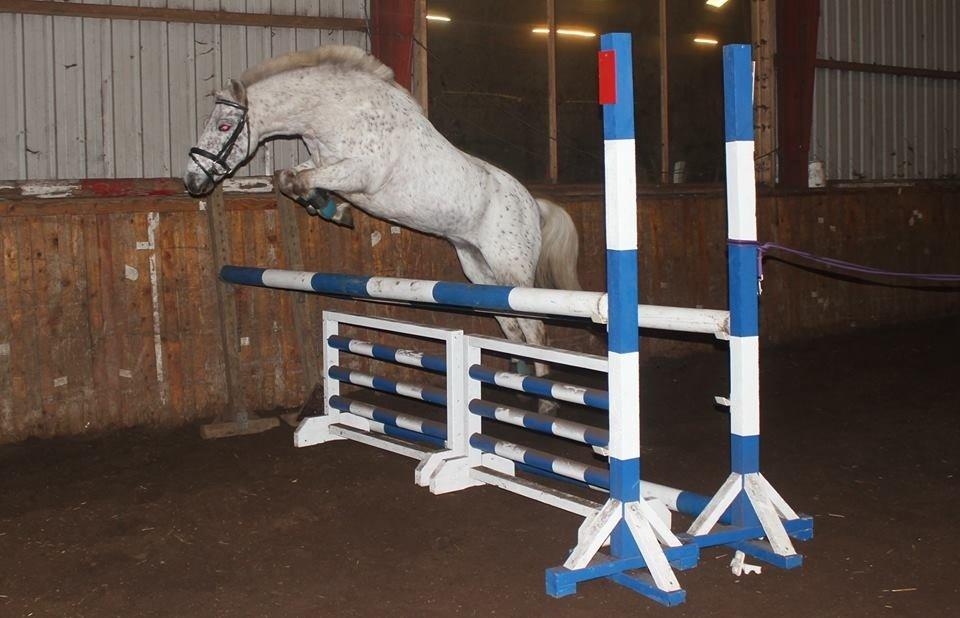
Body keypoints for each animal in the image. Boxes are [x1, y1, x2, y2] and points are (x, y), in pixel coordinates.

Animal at [183, 46, 582, 413]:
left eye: (223, 126)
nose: (192, 181)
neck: (337, 111)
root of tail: (532, 203)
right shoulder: (325, 163)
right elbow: (289, 178)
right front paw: (329, 209)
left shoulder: (359, 172)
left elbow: (299, 179)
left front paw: (333, 209)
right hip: (478, 269)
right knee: (511, 326)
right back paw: (515, 383)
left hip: (510, 266)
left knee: (534, 328)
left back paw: (544, 400)